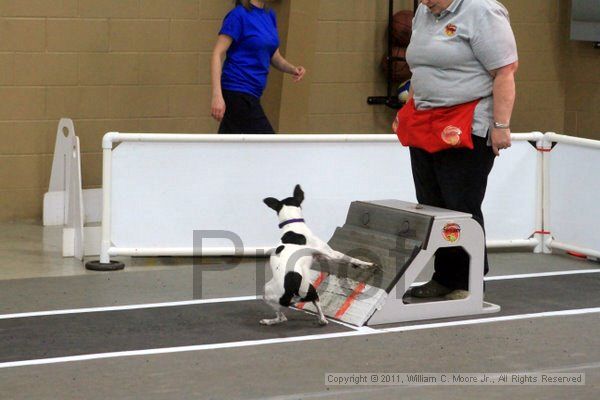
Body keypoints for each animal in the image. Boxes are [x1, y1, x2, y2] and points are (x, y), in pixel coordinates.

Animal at [260, 184, 372, 324]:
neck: (292, 225)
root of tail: (291, 289)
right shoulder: (330, 253)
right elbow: (348, 258)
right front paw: (365, 264)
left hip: (268, 292)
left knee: (281, 317)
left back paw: (269, 321)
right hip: (311, 288)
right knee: (317, 304)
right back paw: (322, 319)